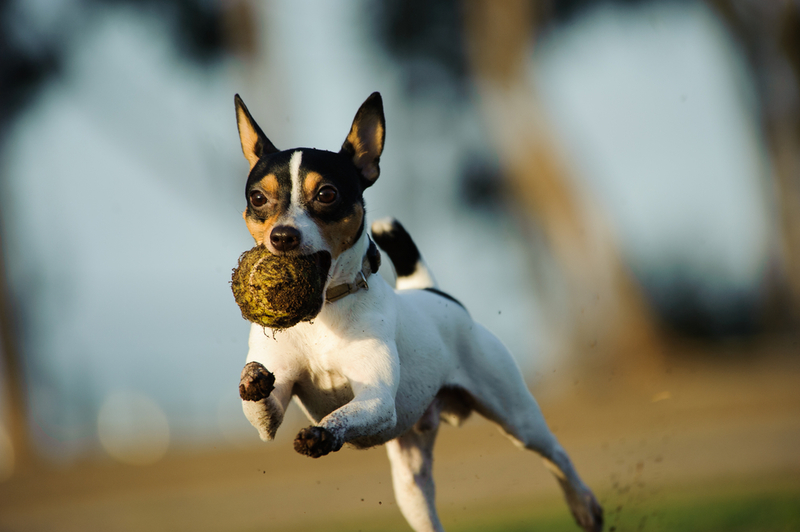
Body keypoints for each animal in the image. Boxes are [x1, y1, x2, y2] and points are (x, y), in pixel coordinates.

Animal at [234, 92, 604, 532]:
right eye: (258, 198)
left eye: (326, 194)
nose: (283, 236)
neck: (322, 315)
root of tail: (428, 289)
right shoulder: (273, 412)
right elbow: (262, 409)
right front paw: (252, 380)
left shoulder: (377, 401)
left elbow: (342, 415)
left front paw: (323, 434)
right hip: (412, 482)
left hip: (517, 417)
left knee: (556, 454)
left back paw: (585, 505)